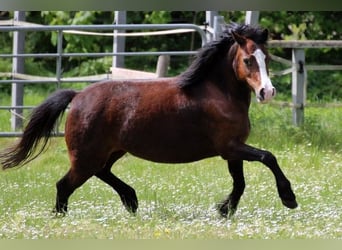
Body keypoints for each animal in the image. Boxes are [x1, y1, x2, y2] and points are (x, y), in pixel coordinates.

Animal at [0, 23, 296, 217]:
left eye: (267, 58)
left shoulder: (233, 151)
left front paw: (224, 210)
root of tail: (78, 95)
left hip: (111, 151)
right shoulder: (230, 147)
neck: (218, 93)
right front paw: (289, 198)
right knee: (65, 184)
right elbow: (269, 157)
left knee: (101, 172)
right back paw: (63, 216)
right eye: (247, 60)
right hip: (86, 156)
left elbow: (240, 182)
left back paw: (131, 200)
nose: (267, 92)